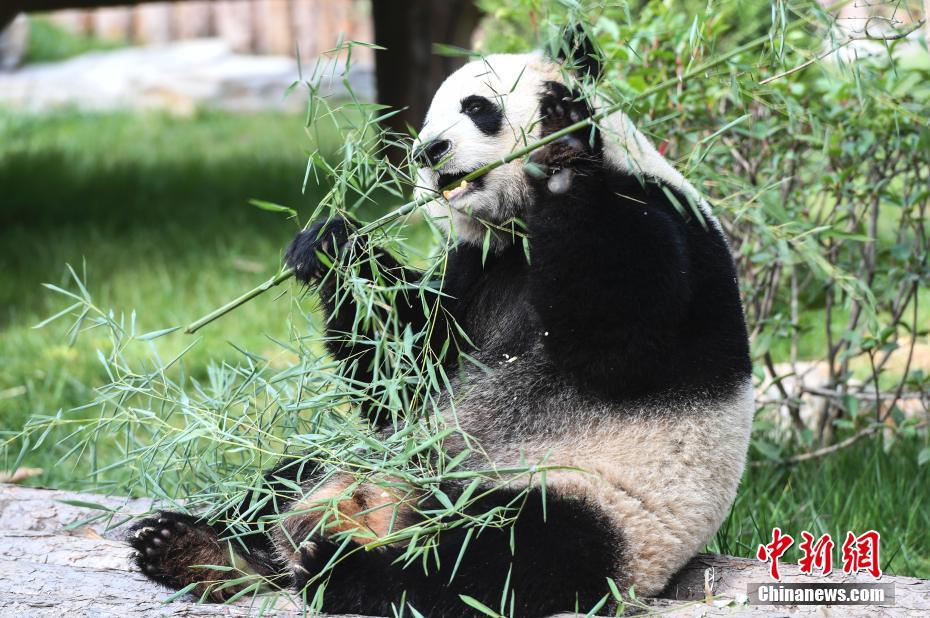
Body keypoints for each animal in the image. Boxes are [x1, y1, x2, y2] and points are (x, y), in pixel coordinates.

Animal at [129, 31, 752, 612]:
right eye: (426, 120)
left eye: (477, 107)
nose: (429, 151)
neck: (520, 227)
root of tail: (383, 507)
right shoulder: (478, 268)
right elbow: (405, 365)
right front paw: (333, 247)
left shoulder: (669, 220)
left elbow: (624, 340)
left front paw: (561, 148)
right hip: (364, 452)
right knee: (285, 478)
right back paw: (195, 548)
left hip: (589, 499)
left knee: (496, 559)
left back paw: (335, 566)